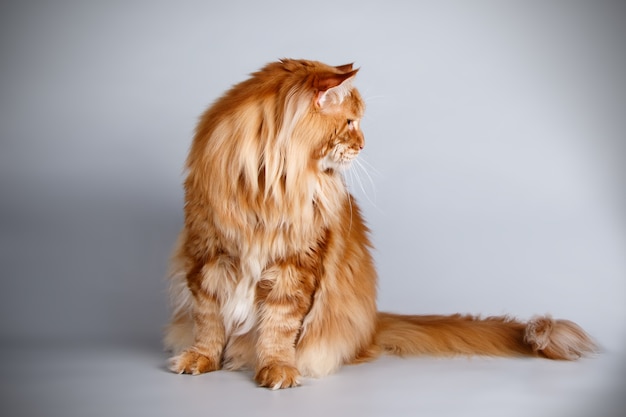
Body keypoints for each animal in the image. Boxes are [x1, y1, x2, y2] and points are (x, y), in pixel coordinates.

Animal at [162, 57, 596, 386]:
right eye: (351, 123)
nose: (363, 144)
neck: (270, 185)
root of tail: (373, 323)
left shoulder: (296, 264)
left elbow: (278, 327)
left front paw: (277, 369)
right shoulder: (208, 254)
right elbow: (209, 321)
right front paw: (201, 359)